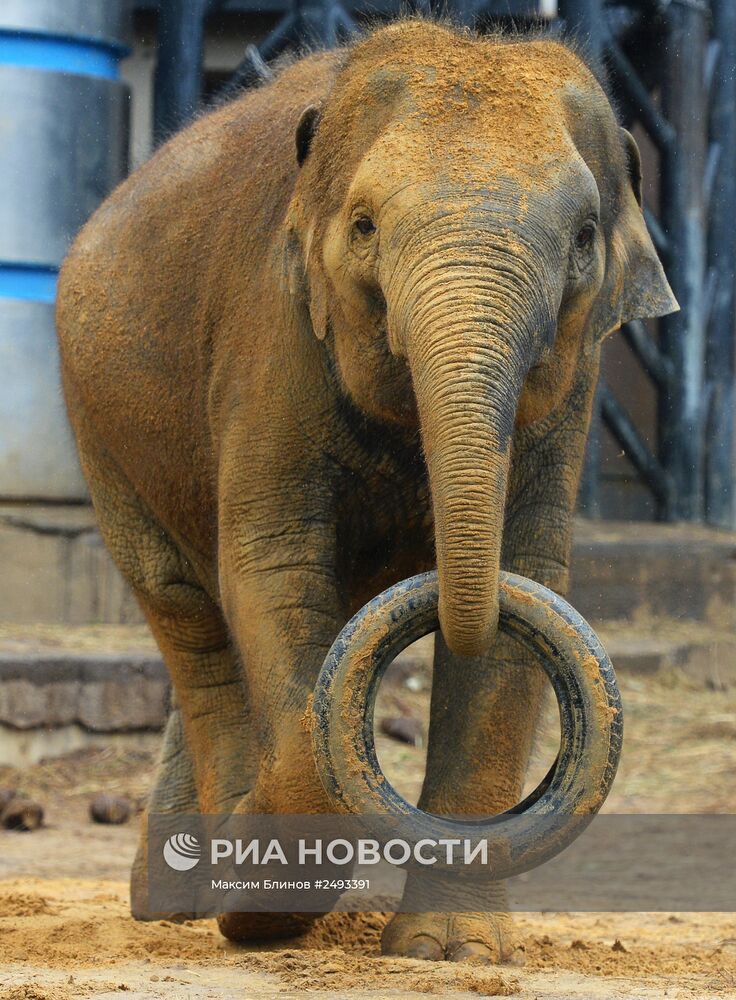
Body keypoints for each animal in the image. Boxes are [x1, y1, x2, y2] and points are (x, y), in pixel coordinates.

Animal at [56, 19, 680, 964]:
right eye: (363, 225)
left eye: (581, 238)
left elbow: (524, 581)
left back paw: (174, 895)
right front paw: (263, 899)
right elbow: (274, 564)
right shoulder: (272, 330)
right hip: (101, 425)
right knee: (190, 619)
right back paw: (202, 884)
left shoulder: (573, 383)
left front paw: (452, 953)